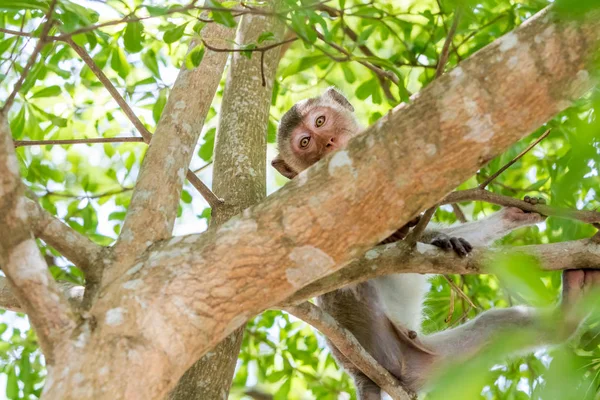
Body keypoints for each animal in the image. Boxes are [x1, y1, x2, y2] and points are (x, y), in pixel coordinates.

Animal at [272, 88, 600, 400]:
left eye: (320, 121)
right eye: (305, 143)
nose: (327, 142)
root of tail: (360, 372)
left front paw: (513, 216)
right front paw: (409, 236)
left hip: (432, 361)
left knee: (495, 326)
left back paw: (567, 316)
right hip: (377, 337)